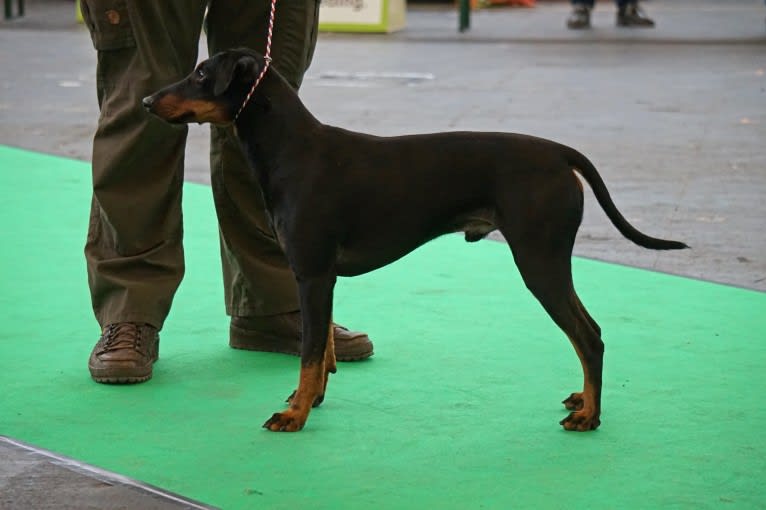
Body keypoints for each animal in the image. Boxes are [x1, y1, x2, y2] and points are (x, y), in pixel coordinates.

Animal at [142, 47, 688, 432]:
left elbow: (309, 351)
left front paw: (295, 416)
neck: (292, 149)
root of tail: (560, 153)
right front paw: (310, 400)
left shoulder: (313, 274)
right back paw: (582, 398)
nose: (147, 100)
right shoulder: (320, 279)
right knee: (585, 335)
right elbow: (321, 351)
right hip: (547, 261)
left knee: (589, 336)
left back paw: (589, 416)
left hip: (540, 260)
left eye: (200, 73)